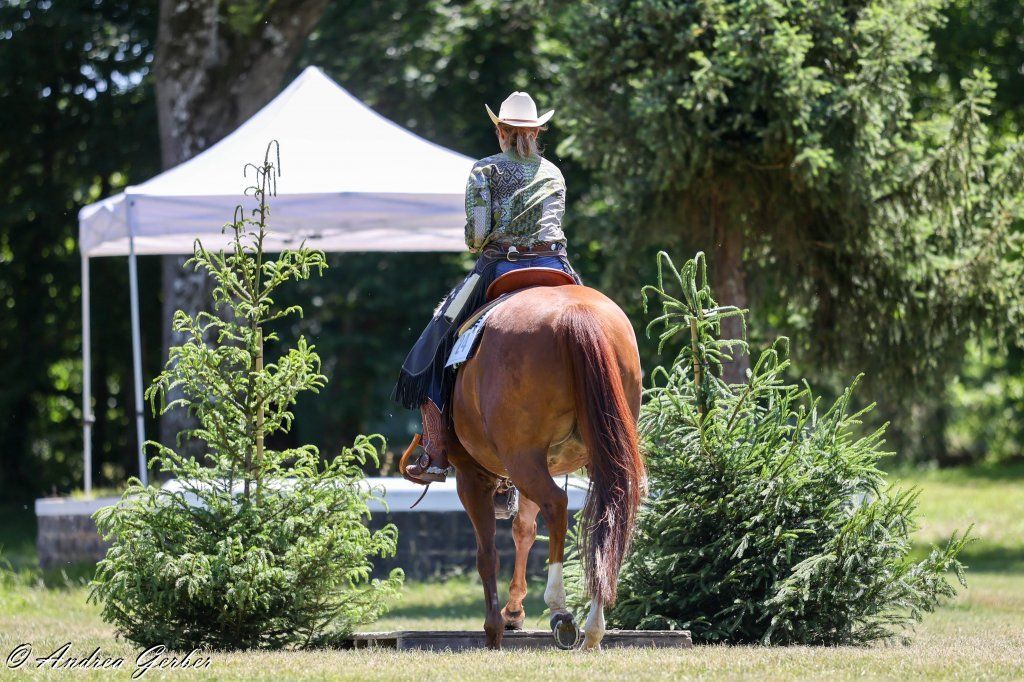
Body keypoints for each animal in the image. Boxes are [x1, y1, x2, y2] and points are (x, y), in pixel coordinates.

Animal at [445, 283, 646, 650]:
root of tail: (576, 313)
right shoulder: (541, 466)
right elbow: (523, 530)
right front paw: (513, 612)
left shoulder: (471, 476)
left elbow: (487, 553)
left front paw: (494, 627)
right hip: (594, 455)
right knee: (607, 513)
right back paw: (594, 626)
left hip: (521, 459)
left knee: (556, 504)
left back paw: (560, 608)